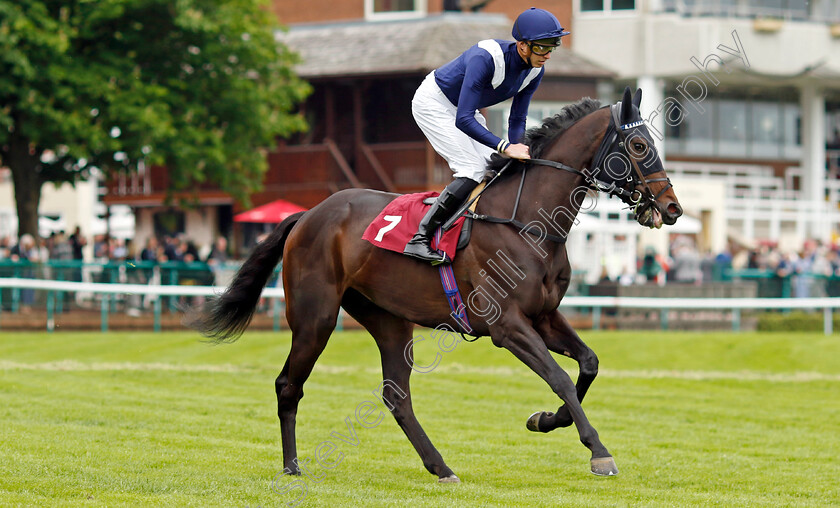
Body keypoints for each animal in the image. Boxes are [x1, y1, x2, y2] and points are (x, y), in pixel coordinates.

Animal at [185, 87, 684, 484]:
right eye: (639, 143)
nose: (673, 207)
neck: (527, 223)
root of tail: (307, 214)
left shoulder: (544, 316)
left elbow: (589, 363)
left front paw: (545, 420)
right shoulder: (507, 326)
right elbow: (560, 377)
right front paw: (599, 452)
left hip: (387, 320)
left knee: (396, 397)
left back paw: (440, 466)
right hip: (316, 317)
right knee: (289, 384)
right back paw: (291, 466)